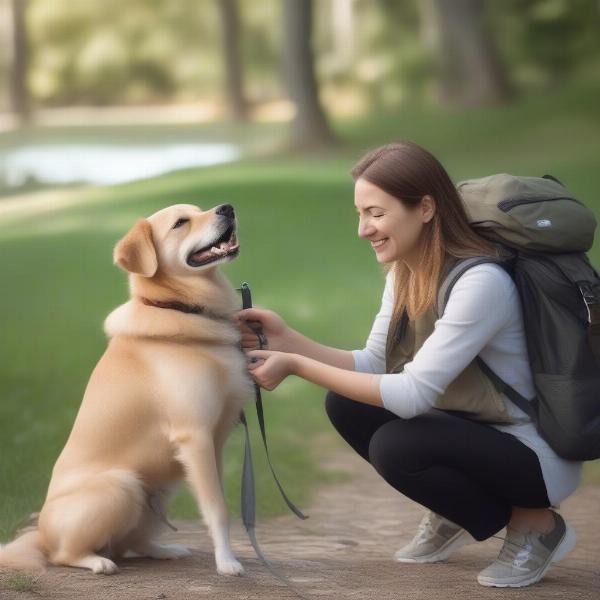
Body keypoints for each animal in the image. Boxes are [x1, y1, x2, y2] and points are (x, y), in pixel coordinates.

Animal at [0, 203, 255, 576]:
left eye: (201, 209)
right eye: (181, 222)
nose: (227, 207)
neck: (184, 309)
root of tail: (41, 534)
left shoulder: (215, 443)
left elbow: (220, 502)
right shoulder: (196, 437)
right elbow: (217, 509)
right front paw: (227, 562)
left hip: (162, 487)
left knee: (128, 542)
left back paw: (163, 549)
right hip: (122, 485)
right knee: (65, 553)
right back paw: (96, 562)